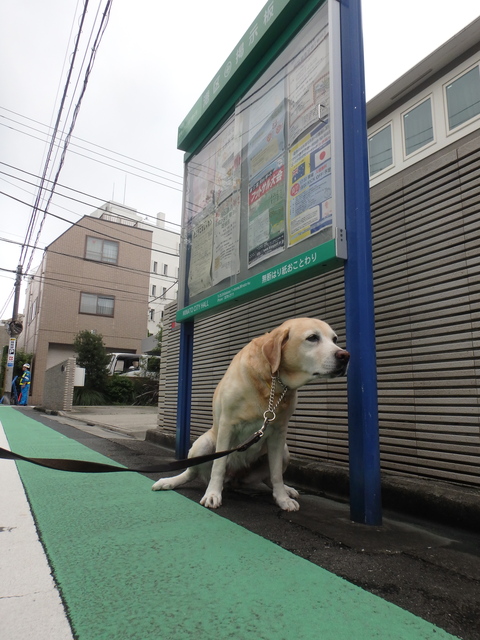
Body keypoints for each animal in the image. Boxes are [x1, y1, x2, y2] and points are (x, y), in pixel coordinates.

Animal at [153, 318, 348, 512]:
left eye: (335, 339)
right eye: (312, 337)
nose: (345, 355)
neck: (272, 382)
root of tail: (234, 479)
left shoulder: (279, 433)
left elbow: (276, 473)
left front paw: (282, 499)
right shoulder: (227, 425)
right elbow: (218, 465)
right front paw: (213, 494)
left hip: (284, 451)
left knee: (269, 477)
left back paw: (286, 490)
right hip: (203, 444)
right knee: (191, 472)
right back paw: (169, 481)